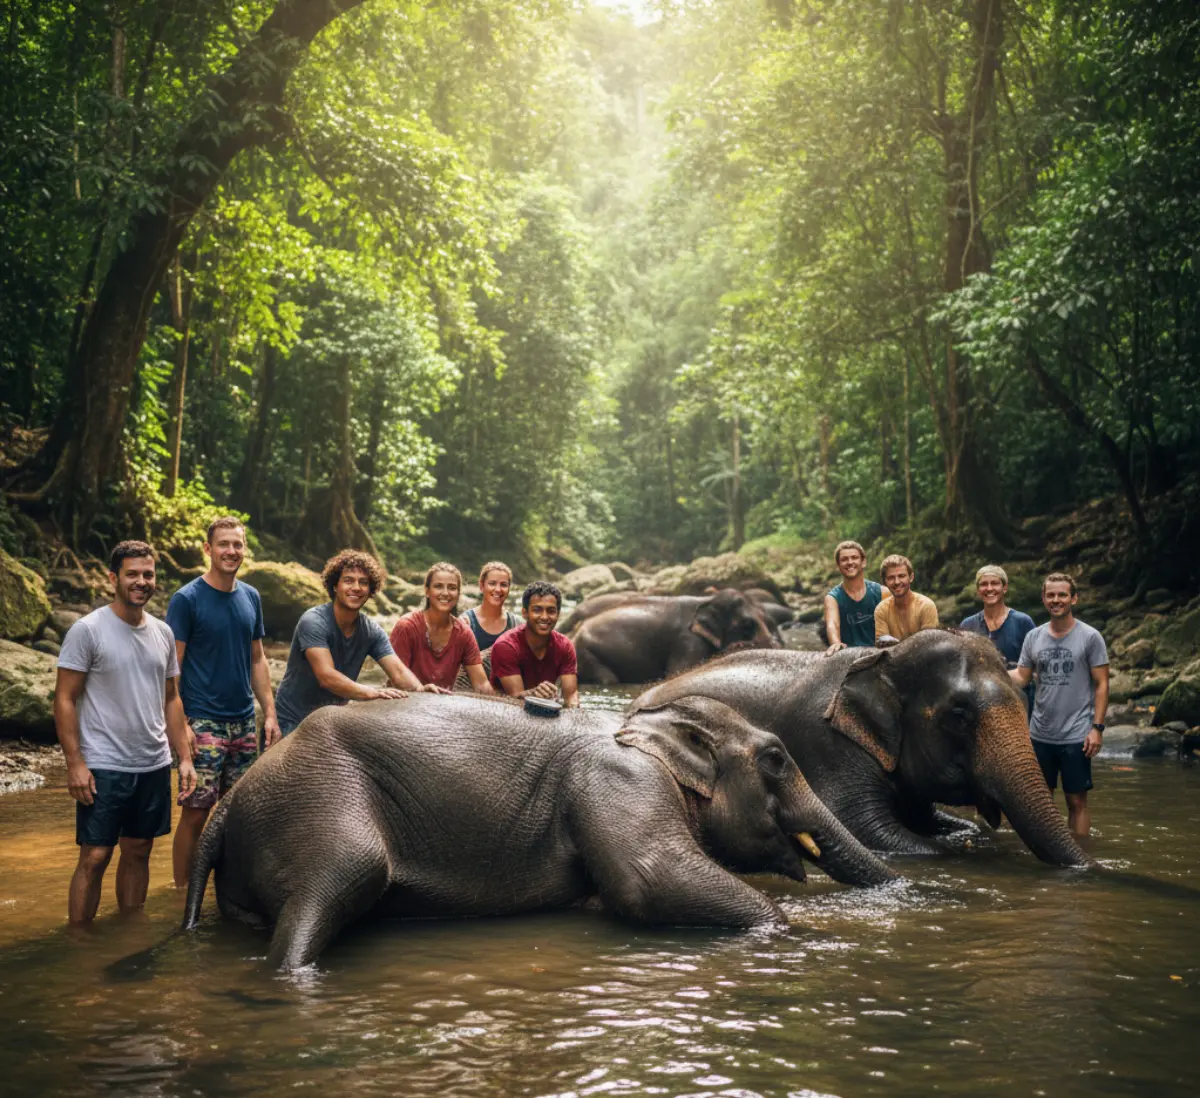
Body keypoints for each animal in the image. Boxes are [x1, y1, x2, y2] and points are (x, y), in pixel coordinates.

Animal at [182, 693, 895, 968]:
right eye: (775, 759)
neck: (645, 725)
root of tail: (231, 798)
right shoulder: (620, 780)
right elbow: (648, 880)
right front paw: (800, 936)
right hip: (321, 802)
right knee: (342, 877)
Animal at [571, 588, 781, 684]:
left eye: (769, 621)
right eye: (747, 625)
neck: (707, 600)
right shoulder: (688, 642)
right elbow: (677, 673)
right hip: (587, 654)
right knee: (609, 680)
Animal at [631, 630, 1091, 867]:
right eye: (958, 714)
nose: (1093, 867)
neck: (884, 658)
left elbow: (937, 822)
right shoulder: (830, 746)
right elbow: (865, 826)